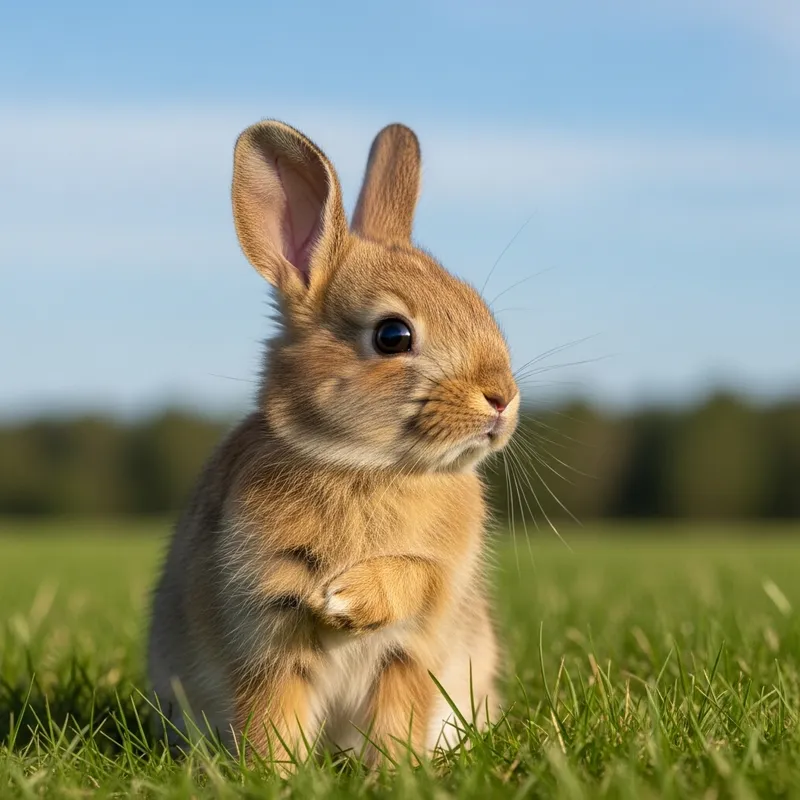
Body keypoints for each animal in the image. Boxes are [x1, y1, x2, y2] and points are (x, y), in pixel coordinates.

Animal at [147, 118, 520, 768]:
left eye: (478, 306)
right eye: (393, 335)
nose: (501, 398)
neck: (366, 466)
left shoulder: (424, 620)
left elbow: (412, 590)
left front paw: (344, 601)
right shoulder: (266, 632)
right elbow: (274, 714)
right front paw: (276, 773)